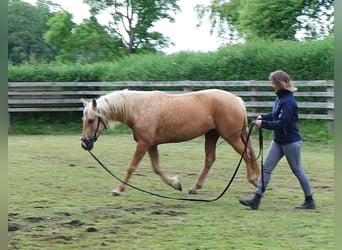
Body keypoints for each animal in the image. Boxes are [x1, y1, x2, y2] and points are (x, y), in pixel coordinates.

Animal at [81, 89, 260, 196]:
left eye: (91, 120)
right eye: (84, 119)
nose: (84, 143)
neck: (138, 109)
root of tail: (237, 100)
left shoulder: (143, 144)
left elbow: (131, 167)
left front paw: (118, 190)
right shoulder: (151, 145)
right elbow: (157, 168)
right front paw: (175, 184)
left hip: (231, 136)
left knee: (247, 154)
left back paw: (254, 180)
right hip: (212, 135)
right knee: (210, 159)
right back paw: (194, 188)